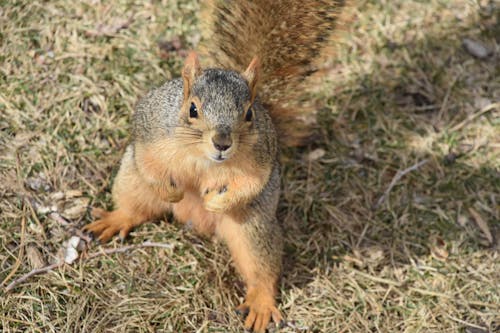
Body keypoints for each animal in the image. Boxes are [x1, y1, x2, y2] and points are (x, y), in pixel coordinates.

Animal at [83, 1, 348, 330]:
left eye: (249, 114)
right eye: (192, 109)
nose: (222, 142)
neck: (202, 157)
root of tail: (193, 221)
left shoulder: (260, 158)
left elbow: (251, 183)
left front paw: (214, 200)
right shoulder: (150, 130)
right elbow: (149, 163)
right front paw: (172, 191)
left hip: (253, 229)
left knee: (261, 269)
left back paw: (260, 302)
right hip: (130, 180)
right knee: (135, 207)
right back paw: (115, 219)